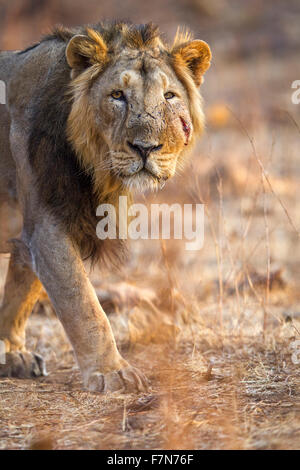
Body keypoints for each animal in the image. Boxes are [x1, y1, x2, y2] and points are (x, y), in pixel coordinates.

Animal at [0, 23, 211, 392]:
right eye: (117, 95)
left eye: (170, 96)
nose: (146, 147)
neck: (95, 166)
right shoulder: (46, 227)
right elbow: (83, 303)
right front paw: (112, 372)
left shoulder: (40, 228)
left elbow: (20, 291)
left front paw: (11, 354)